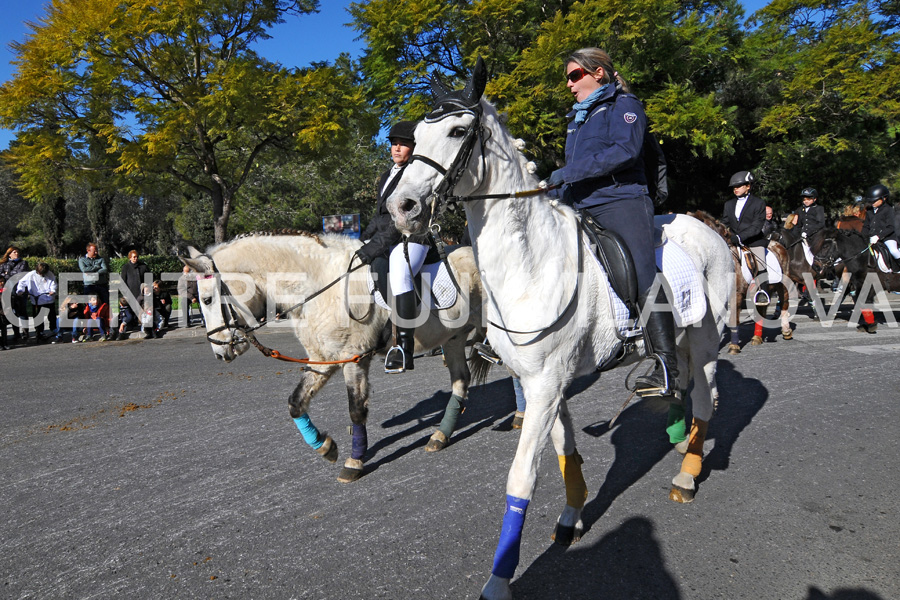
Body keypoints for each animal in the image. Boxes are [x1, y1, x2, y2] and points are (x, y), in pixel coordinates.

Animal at [183, 232, 488, 486]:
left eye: (207, 300)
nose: (220, 352)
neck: (318, 286)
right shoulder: (322, 360)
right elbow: (296, 403)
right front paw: (325, 447)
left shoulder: (354, 359)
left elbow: (356, 410)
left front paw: (354, 462)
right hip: (453, 339)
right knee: (461, 381)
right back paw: (441, 436)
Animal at [384, 57, 732, 600]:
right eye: (416, 135)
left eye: (459, 131)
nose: (401, 208)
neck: (531, 264)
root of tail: (707, 226)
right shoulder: (543, 383)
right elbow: (566, 451)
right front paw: (572, 517)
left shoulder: (546, 384)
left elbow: (521, 478)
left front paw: (499, 578)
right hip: (678, 340)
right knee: (681, 384)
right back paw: (676, 431)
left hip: (706, 336)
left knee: (704, 398)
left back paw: (687, 475)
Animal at [688, 210, 788, 352]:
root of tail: (778, 244)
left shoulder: (736, 294)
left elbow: (733, 319)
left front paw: (733, 346)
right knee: (761, 309)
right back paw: (756, 338)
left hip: (782, 285)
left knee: (784, 303)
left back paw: (786, 332)